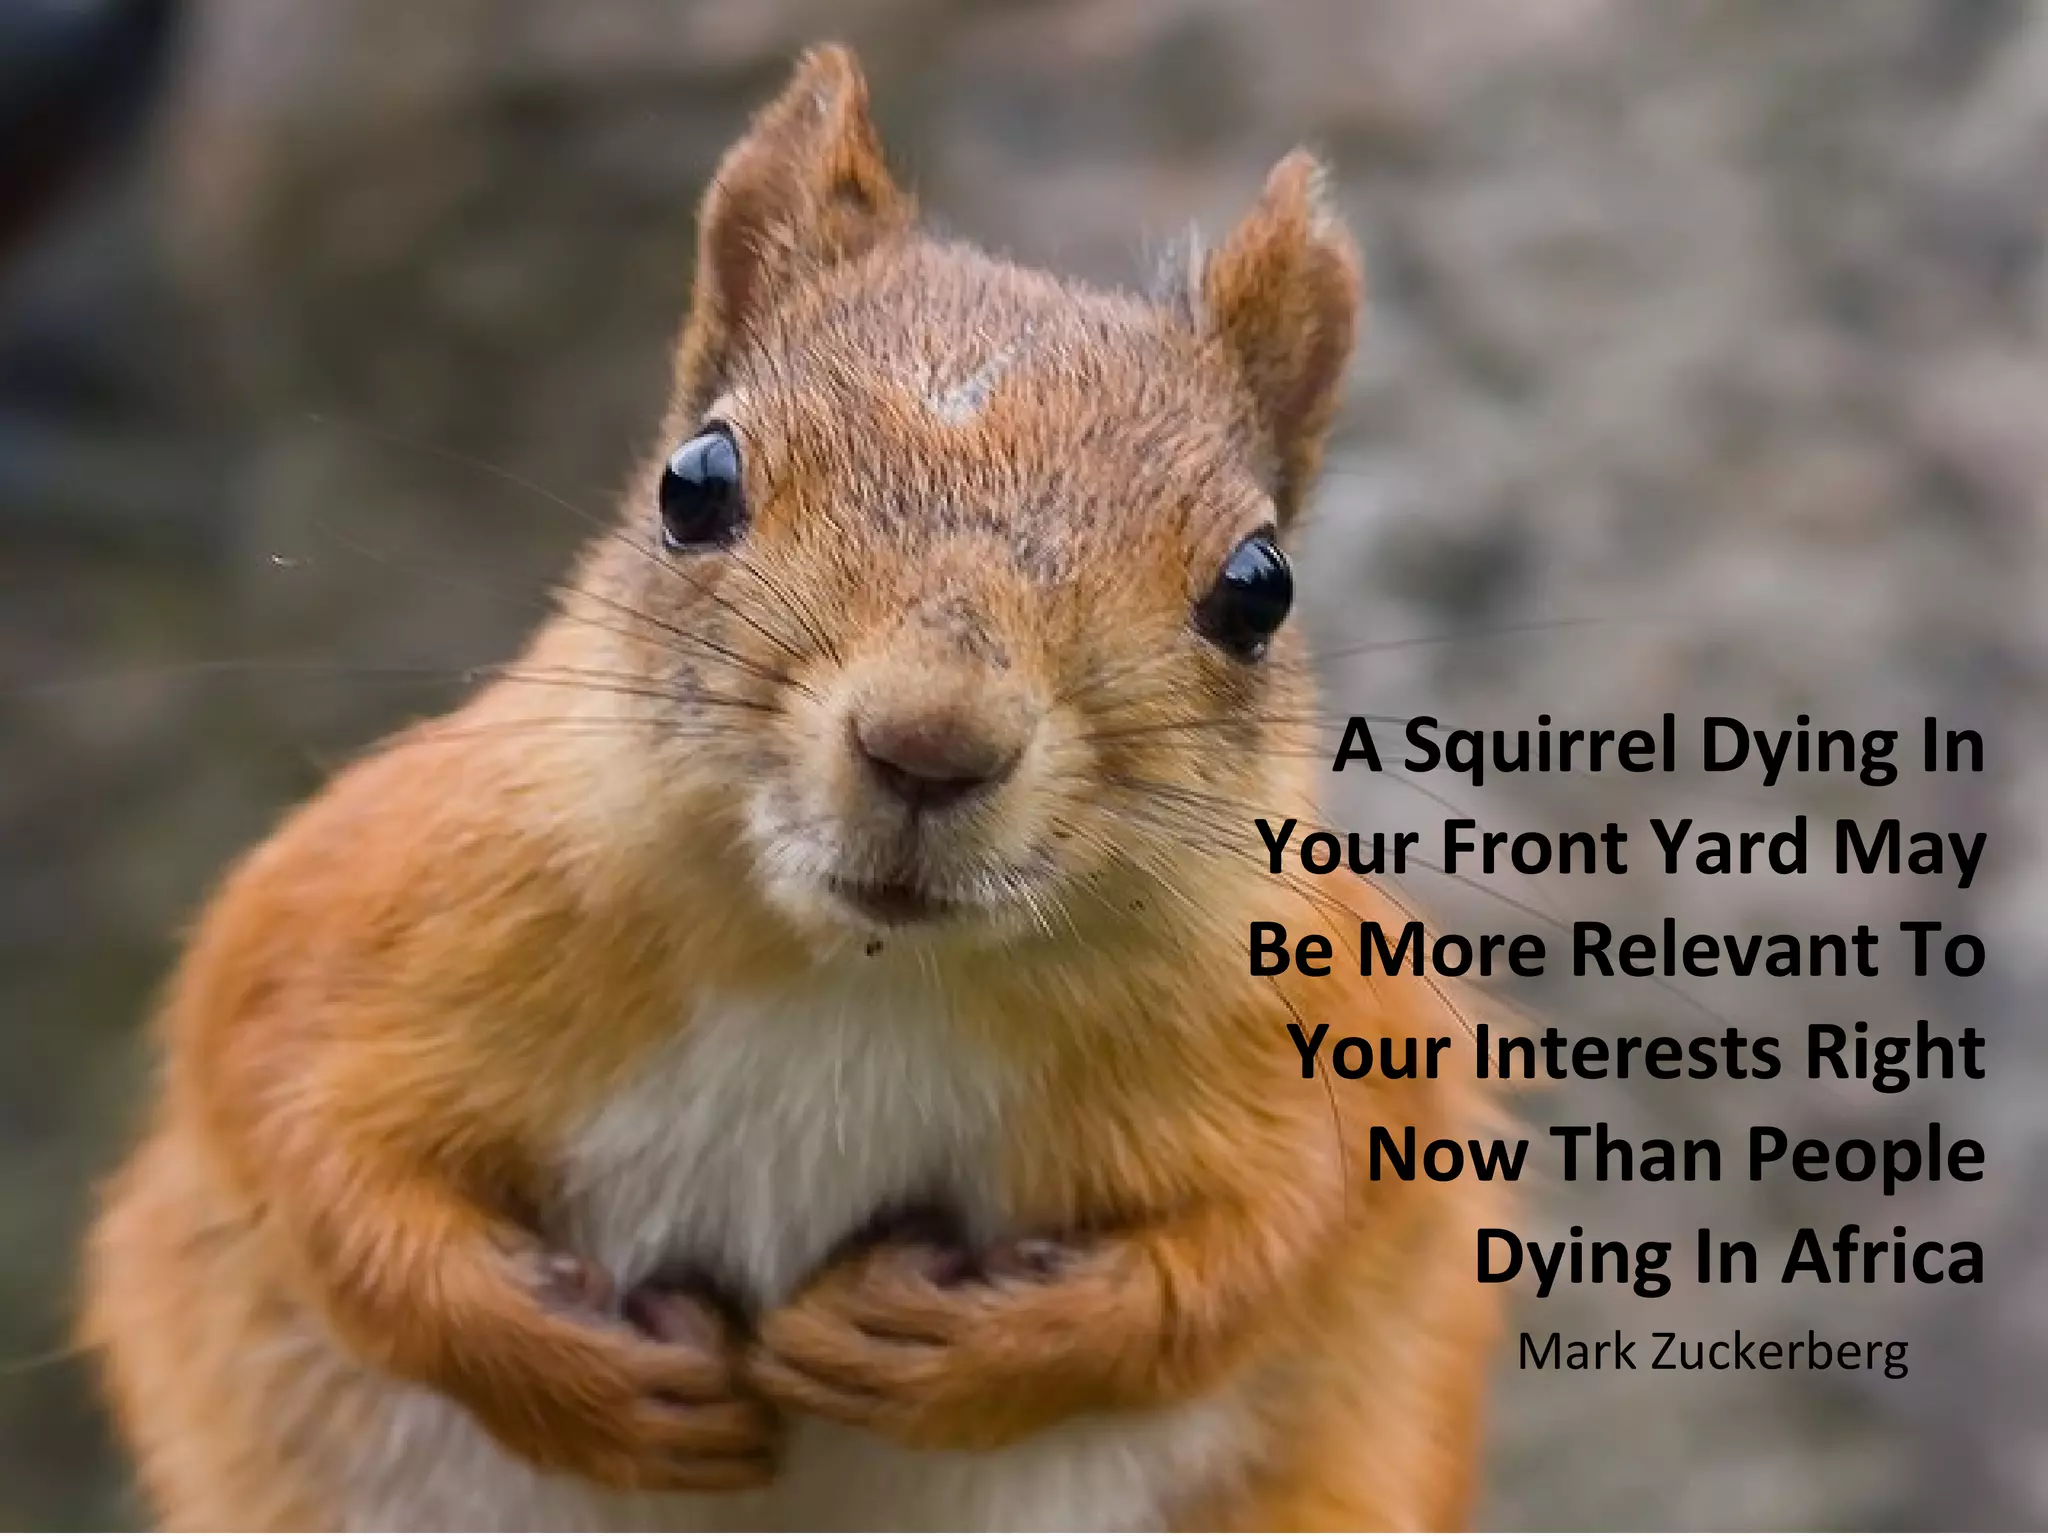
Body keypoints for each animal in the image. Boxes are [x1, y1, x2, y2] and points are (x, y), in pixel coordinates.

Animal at [80, 44, 1504, 1532]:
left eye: (1257, 588)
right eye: (693, 483)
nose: (929, 743)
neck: (855, 975)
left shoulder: (1321, 1029)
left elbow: (1269, 1243)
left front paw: (955, 1349)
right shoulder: (357, 918)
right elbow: (297, 1137)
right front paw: (582, 1376)